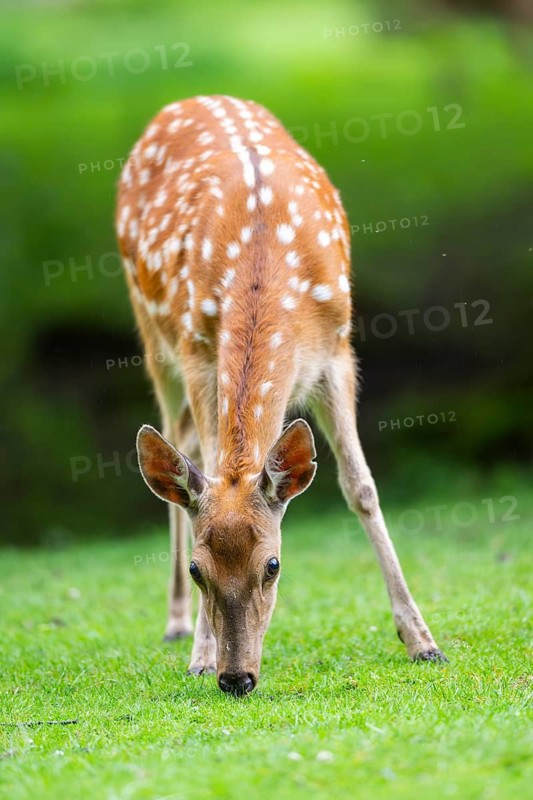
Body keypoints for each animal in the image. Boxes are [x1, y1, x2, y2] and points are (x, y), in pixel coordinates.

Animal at [116, 94, 446, 696]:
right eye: (198, 569)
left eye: (273, 565)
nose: (236, 677)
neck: (261, 265)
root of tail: (188, 99)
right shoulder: (199, 354)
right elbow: (209, 468)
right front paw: (199, 655)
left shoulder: (336, 354)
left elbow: (361, 488)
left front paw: (423, 641)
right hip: (152, 332)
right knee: (178, 444)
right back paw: (176, 625)